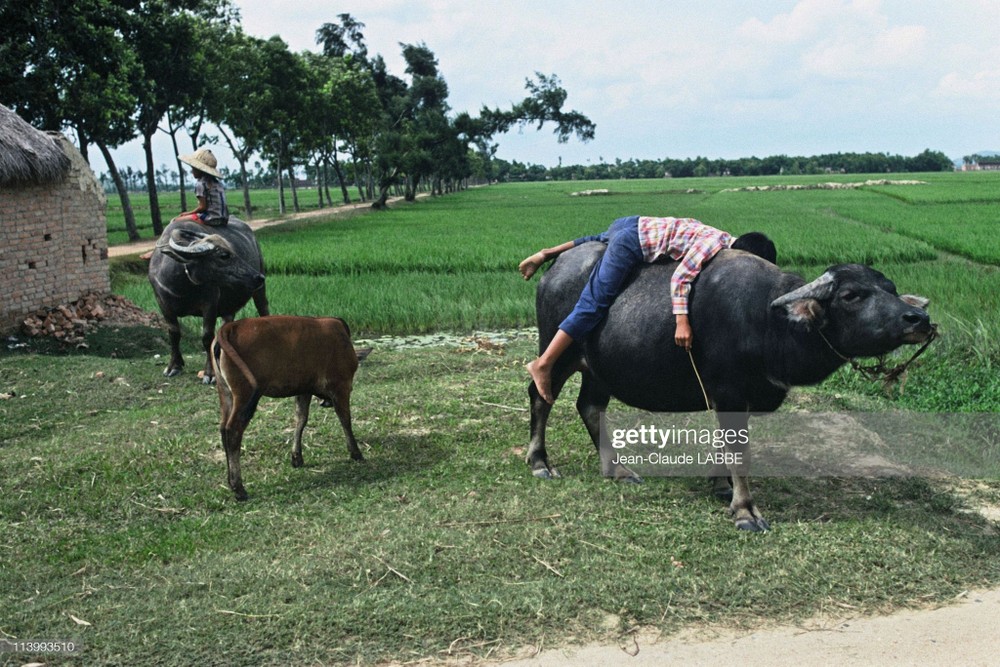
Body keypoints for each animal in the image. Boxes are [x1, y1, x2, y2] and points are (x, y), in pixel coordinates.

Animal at [146, 217, 268, 384]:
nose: (258, 277)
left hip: (259, 292)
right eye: (224, 255)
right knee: (226, 324)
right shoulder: (163, 304)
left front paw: (209, 373)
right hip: (229, 305)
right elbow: (173, 333)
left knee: (263, 310)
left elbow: (207, 337)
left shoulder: (210, 304)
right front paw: (174, 366)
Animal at [211, 316, 368, 498]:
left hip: (225, 392)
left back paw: (231, 482)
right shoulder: (341, 385)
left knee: (223, 429)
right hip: (244, 395)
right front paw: (356, 452)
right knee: (233, 431)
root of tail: (231, 326)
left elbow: (301, 419)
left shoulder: (305, 389)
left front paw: (297, 457)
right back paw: (239, 488)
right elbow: (345, 419)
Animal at [528, 244, 932, 532]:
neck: (769, 320)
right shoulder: (729, 392)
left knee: (590, 406)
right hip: (559, 352)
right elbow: (740, 451)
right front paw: (745, 510)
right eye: (851, 295)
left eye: (891, 289)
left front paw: (720, 485)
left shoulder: (737, 398)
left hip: (599, 369)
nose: (919, 319)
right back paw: (540, 461)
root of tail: (554, 272)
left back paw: (618, 469)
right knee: (540, 395)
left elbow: (726, 445)